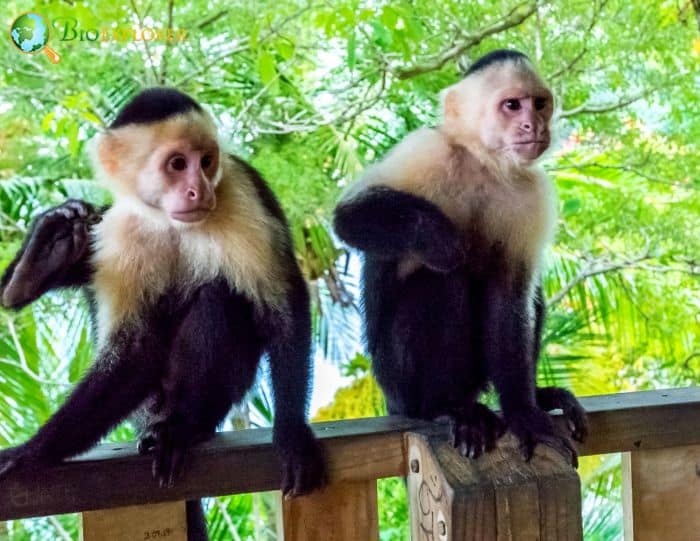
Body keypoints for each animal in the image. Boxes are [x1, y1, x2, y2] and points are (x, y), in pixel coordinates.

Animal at [0, 87, 326, 536]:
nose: (198, 191)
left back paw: (183, 428)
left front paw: (292, 435)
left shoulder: (240, 189)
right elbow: (133, 348)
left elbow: (282, 306)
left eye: (206, 162)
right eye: (176, 164)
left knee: (219, 298)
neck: (168, 219)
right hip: (144, 403)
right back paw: (36, 266)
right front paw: (35, 451)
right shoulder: (121, 229)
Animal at [336, 49, 588, 464]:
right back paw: (447, 408)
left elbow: (510, 299)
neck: (484, 163)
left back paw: (535, 396)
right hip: (397, 381)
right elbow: (348, 217)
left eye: (539, 103)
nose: (533, 124)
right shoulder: (427, 149)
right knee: (442, 282)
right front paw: (437, 236)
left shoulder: (532, 193)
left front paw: (524, 412)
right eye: (512, 105)